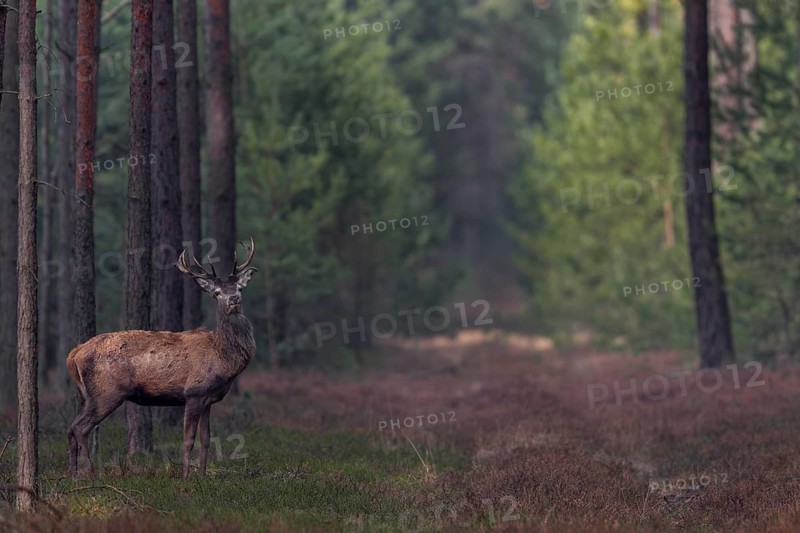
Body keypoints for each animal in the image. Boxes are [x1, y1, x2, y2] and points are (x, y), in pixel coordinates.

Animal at [67, 238, 258, 479]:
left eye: (240, 288)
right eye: (216, 292)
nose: (234, 299)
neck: (222, 357)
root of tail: (75, 353)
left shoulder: (208, 399)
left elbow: (206, 439)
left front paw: (203, 475)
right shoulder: (194, 393)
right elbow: (188, 439)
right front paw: (186, 477)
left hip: (87, 395)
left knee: (70, 428)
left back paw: (73, 475)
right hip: (106, 392)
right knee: (81, 428)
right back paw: (91, 475)